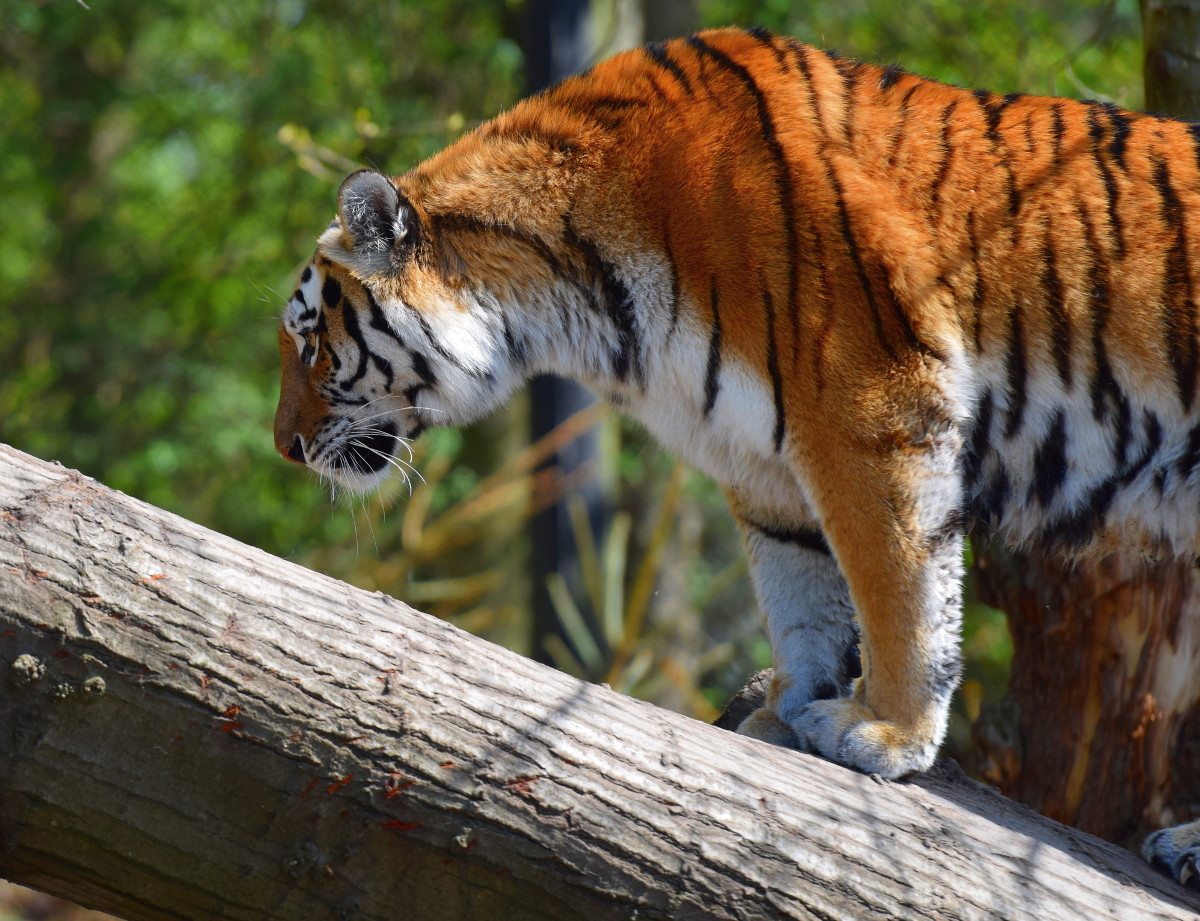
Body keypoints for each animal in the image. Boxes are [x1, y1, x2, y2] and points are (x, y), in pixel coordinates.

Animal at [274, 27, 1200, 886]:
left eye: (311, 342)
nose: (285, 446)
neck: (573, 300)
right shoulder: (766, 462)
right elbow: (803, 593)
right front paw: (792, 709)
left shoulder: (871, 406)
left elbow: (897, 582)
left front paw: (885, 732)